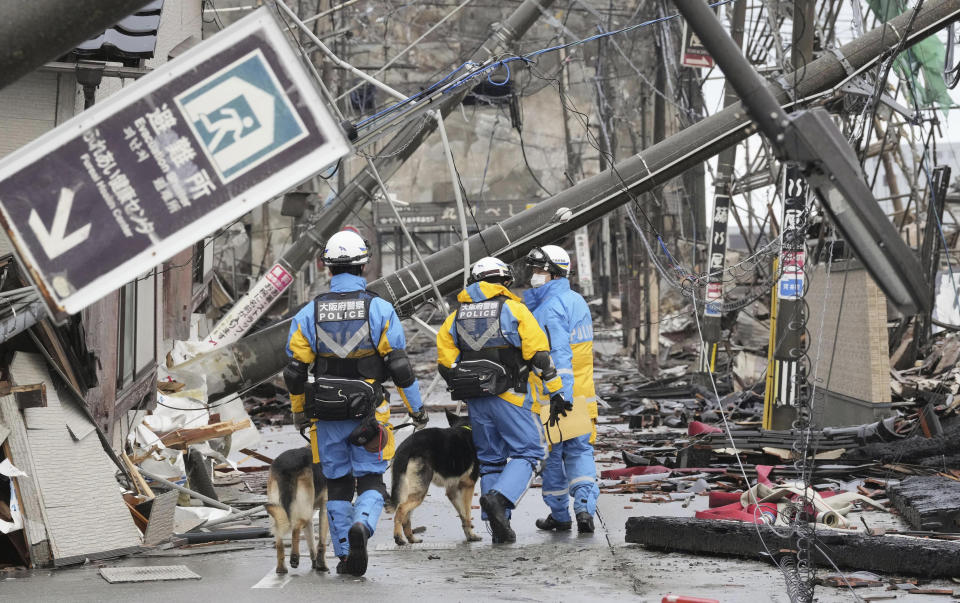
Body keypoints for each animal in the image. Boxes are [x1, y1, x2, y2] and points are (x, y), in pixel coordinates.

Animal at [266, 448, 330, 576]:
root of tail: (285, 467)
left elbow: (311, 540)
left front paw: (315, 563)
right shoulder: (325, 507)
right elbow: (321, 542)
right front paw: (322, 565)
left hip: (276, 508)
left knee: (279, 540)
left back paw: (281, 568)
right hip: (304, 511)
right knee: (296, 527)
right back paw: (294, 557)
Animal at [388, 410, 480, 548]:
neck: (466, 426)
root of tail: (404, 449)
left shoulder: (452, 491)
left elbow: (462, 514)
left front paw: (468, 534)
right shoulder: (468, 486)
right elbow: (467, 513)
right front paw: (471, 535)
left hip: (411, 491)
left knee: (406, 516)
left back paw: (412, 539)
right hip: (420, 491)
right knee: (401, 509)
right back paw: (398, 537)